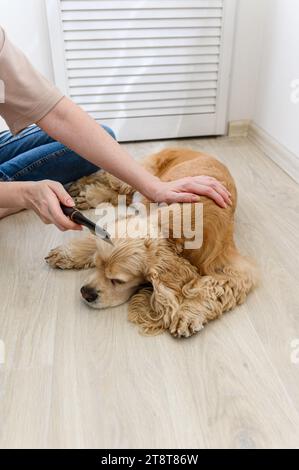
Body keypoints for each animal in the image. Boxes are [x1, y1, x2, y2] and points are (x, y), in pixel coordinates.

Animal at [45, 149, 258, 336]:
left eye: (118, 281)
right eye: (96, 265)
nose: (85, 293)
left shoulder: (231, 267)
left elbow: (213, 287)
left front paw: (187, 314)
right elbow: (94, 238)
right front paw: (65, 254)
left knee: (119, 193)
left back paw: (88, 195)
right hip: (139, 173)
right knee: (108, 175)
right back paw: (80, 187)